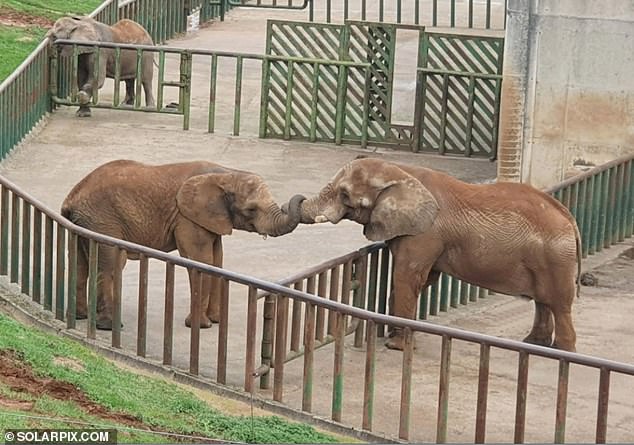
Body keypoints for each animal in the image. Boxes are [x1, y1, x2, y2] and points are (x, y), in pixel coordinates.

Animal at [62, 160, 306, 330]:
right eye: (251, 209)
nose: (299, 199)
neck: (225, 173)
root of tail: (71, 198)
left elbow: (217, 260)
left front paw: (215, 321)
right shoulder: (187, 217)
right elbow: (201, 260)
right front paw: (201, 326)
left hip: (88, 221)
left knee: (80, 261)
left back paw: (81, 315)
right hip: (103, 219)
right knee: (112, 263)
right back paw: (109, 326)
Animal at [294, 158, 580, 352]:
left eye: (345, 195)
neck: (402, 171)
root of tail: (568, 216)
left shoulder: (426, 233)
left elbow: (407, 277)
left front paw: (396, 346)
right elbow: (422, 279)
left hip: (555, 257)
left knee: (559, 304)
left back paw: (561, 352)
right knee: (543, 301)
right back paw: (535, 344)